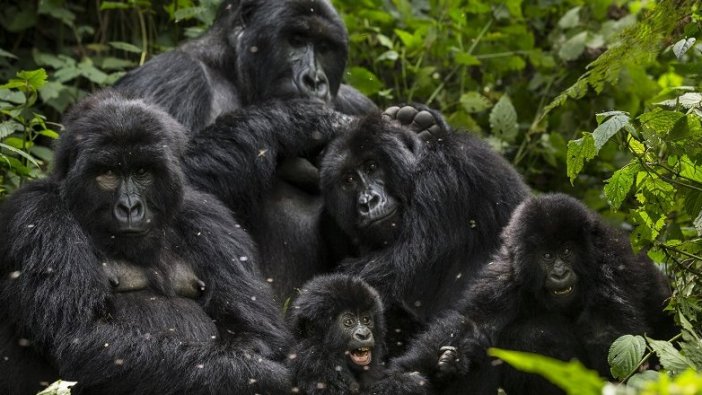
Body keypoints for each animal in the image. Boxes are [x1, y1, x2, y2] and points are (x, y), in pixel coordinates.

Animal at [0, 91, 292, 395]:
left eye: (142, 171)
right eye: (108, 173)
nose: (130, 208)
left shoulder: (212, 220)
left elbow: (257, 332)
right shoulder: (37, 216)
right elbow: (79, 337)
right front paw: (259, 376)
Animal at [426, 193, 680, 394]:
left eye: (567, 251)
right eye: (547, 256)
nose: (560, 273)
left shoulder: (613, 267)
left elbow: (613, 348)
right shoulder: (506, 276)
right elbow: (473, 323)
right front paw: (450, 364)